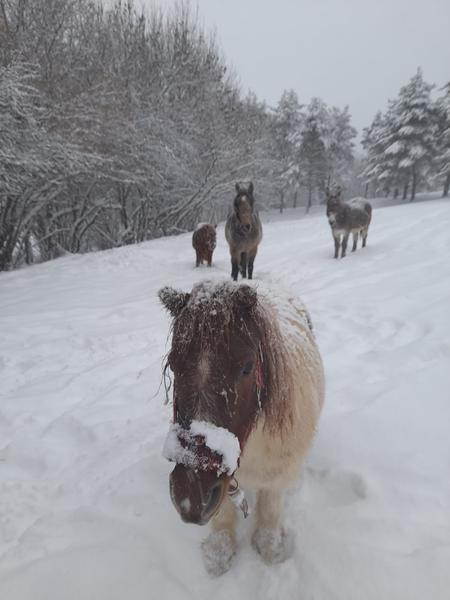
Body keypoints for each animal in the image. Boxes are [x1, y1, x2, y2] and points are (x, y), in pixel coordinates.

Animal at [158, 282, 324, 576]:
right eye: (174, 365)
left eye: (247, 367)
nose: (190, 498)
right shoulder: (222, 483)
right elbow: (223, 517)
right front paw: (219, 554)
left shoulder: (276, 476)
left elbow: (269, 512)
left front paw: (270, 549)